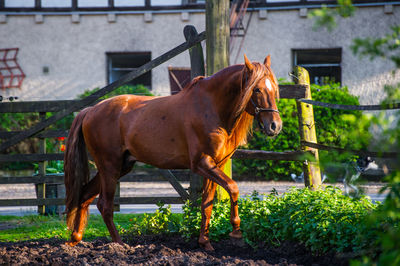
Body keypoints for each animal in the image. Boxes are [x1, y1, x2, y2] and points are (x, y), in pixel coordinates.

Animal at [64, 54, 282, 251]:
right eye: (257, 89)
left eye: (275, 88)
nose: (275, 126)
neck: (211, 107)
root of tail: (90, 110)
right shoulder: (202, 163)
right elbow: (233, 187)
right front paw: (236, 231)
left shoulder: (215, 165)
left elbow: (207, 204)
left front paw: (205, 243)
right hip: (110, 167)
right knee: (105, 205)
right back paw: (119, 245)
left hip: (119, 167)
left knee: (84, 196)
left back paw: (75, 239)